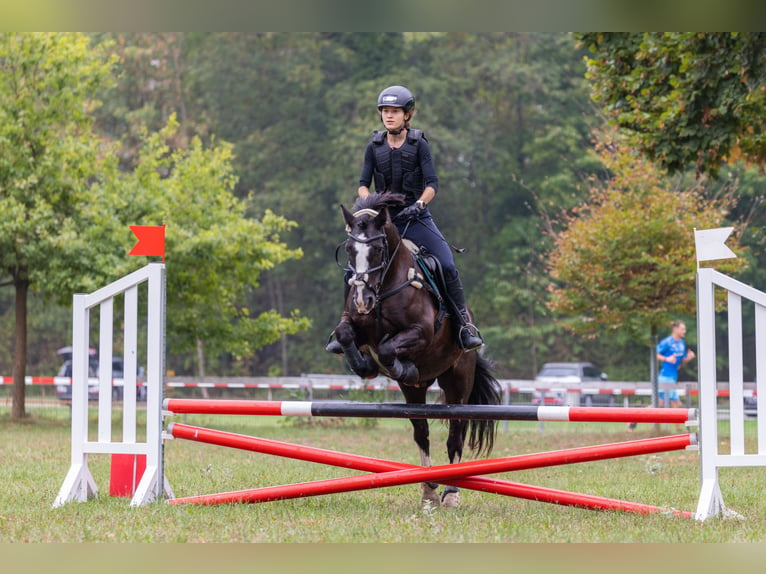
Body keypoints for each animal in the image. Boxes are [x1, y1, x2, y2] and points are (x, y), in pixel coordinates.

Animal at [332, 194, 504, 508]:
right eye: (350, 249)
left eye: (377, 249)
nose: (363, 300)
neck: (384, 286)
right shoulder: (354, 325)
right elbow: (346, 334)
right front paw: (367, 367)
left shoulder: (422, 332)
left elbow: (387, 347)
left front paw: (400, 365)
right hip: (414, 394)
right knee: (421, 432)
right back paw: (429, 491)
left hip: (458, 382)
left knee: (456, 434)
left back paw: (450, 492)